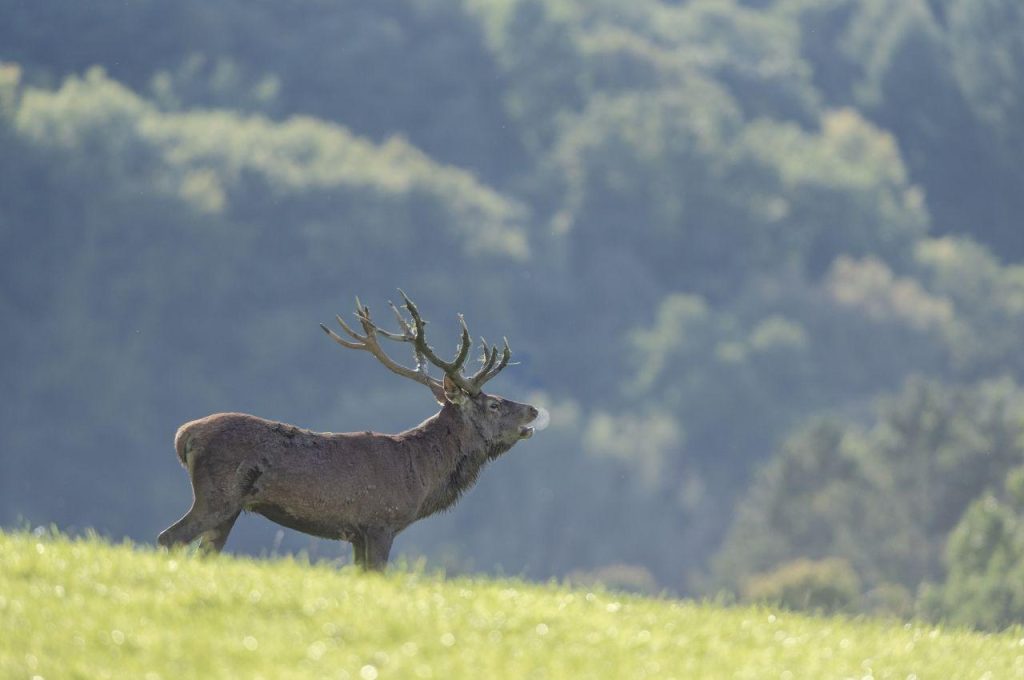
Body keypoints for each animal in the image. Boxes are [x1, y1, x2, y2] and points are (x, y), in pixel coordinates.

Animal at [157, 291, 539, 570]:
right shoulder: (380, 522)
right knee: (169, 538)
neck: (422, 475)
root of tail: (184, 436)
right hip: (217, 495)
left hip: (231, 508)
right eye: (494, 405)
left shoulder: (356, 534)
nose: (533, 410)